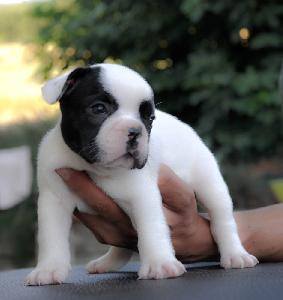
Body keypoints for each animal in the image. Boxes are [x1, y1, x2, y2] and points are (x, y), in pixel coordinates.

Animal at [25, 63, 258, 286]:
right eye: (98, 108)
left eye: (149, 118)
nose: (135, 131)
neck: (94, 167)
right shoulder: (53, 201)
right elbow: (52, 238)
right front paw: (48, 270)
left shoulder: (141, 196)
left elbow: (151, 228)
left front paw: (159, 263)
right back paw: (106, 263)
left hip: (210, 183)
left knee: (222, 219)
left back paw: (235, 254)